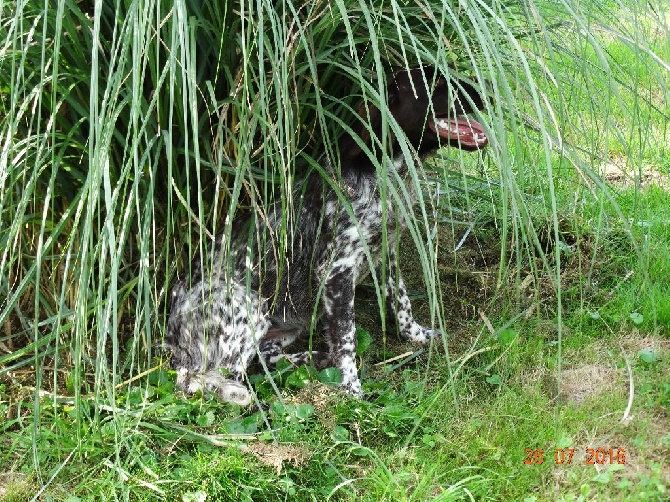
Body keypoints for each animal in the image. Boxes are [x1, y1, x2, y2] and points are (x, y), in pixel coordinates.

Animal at [163, 66, 488, 404]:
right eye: (433, 83)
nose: (486, 87)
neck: (381, 176)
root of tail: (170, 334)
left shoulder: (387, 250)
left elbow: (401, 301)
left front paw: (417, 335)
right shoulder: (336, 271)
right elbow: (346, 338)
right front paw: (352, 388)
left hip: (283, 324)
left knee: (265, 358)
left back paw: (312, 358)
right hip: (248, 309)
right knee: (202, 379)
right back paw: (244, 396)